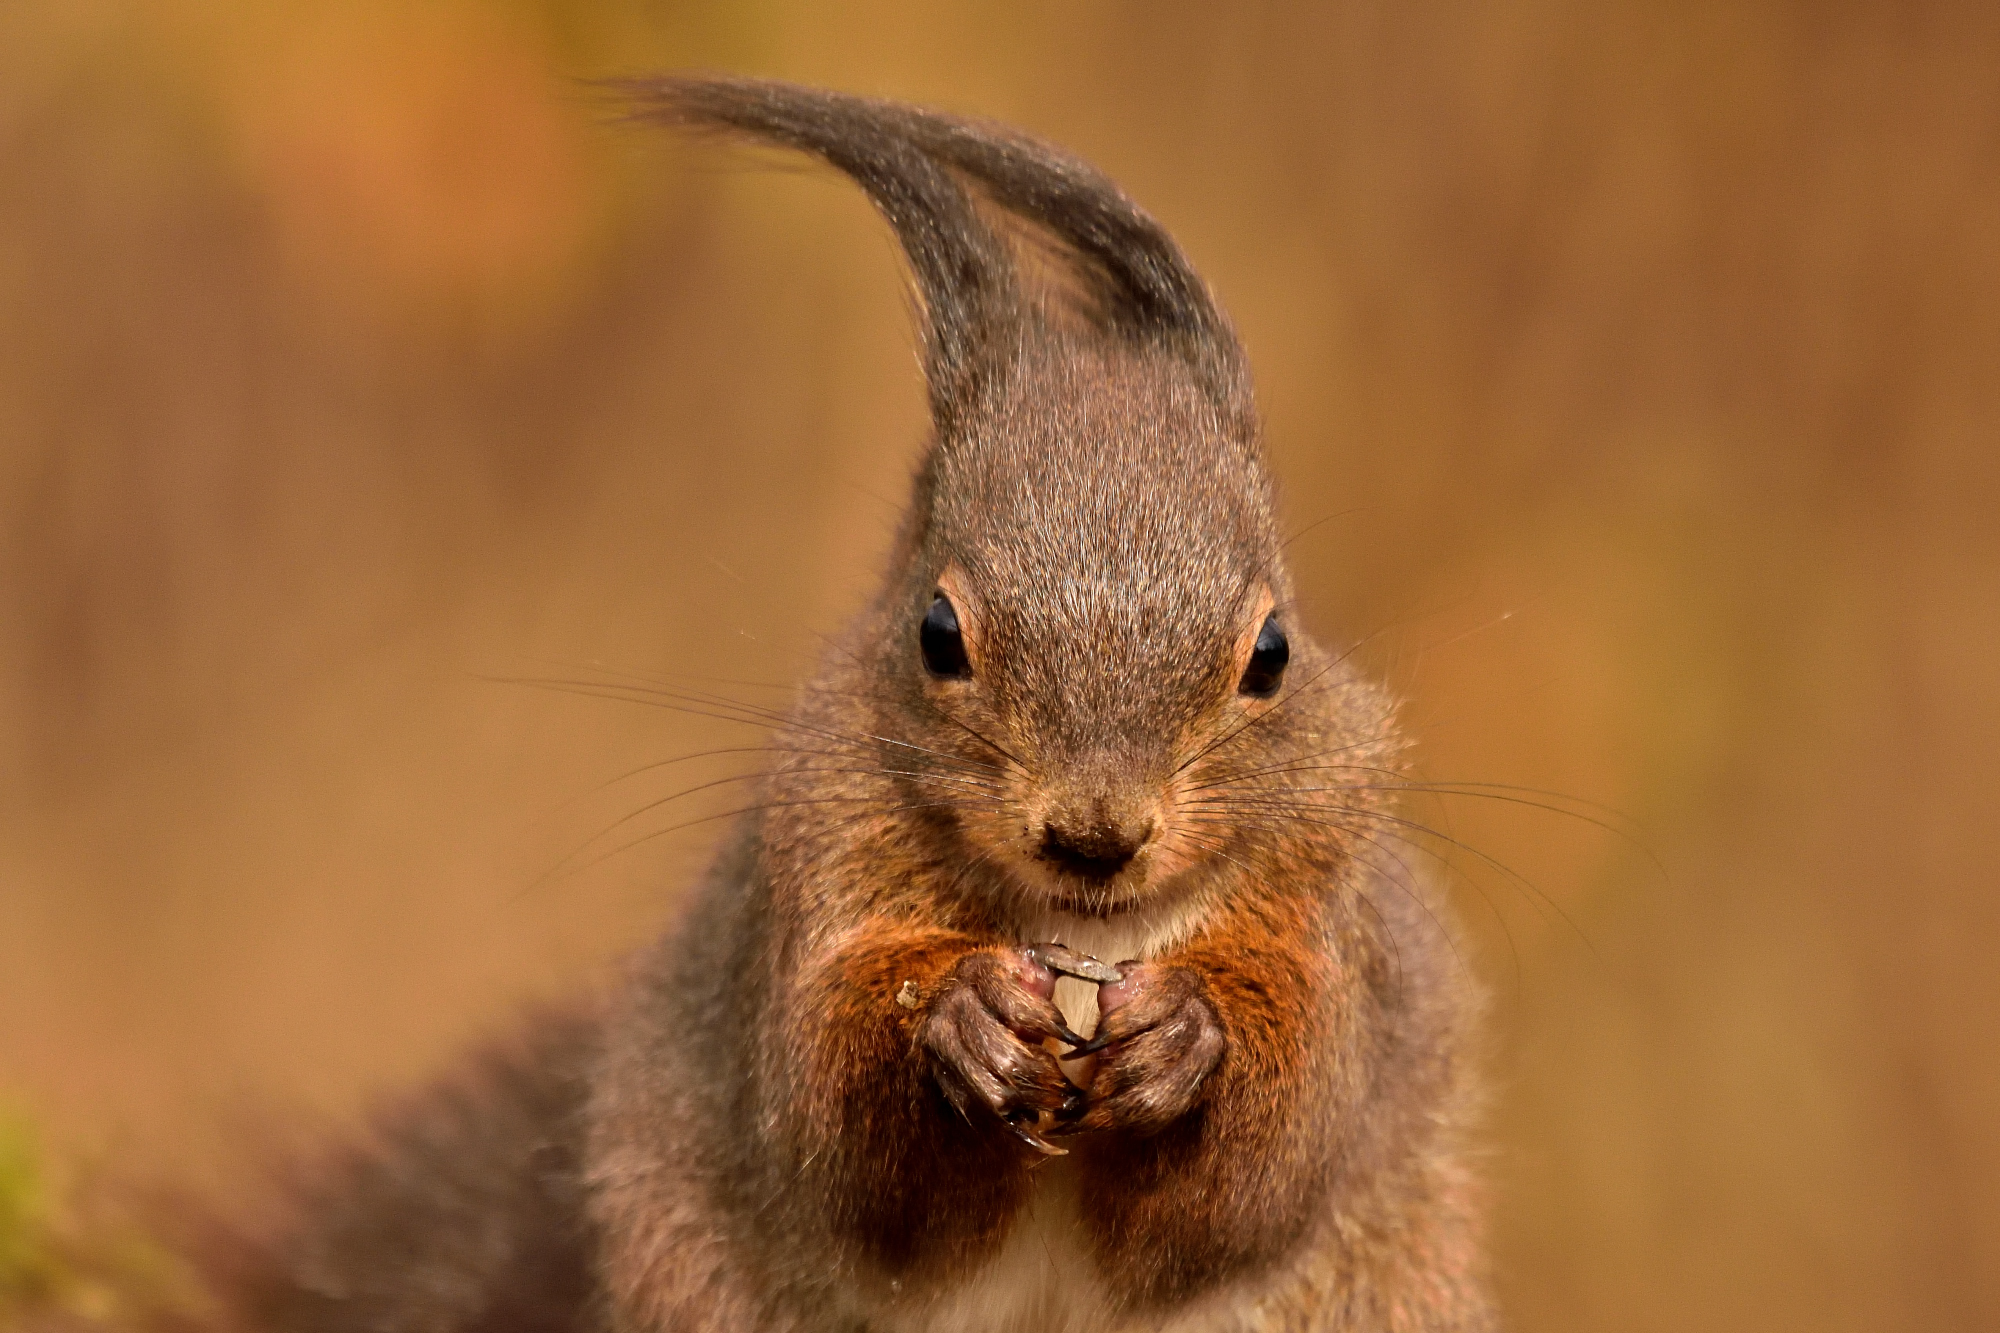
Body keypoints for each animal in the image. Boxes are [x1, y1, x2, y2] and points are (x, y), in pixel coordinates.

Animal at [186, 77, 1492, 1333]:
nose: (1094, 836)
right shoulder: (812, 879)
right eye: (935, 633)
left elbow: (1266, 1160)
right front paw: (960, 1017)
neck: (1088, 930)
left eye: (1269, 653)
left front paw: (1185, 1039)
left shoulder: (1330, 921)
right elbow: (840, 1135)